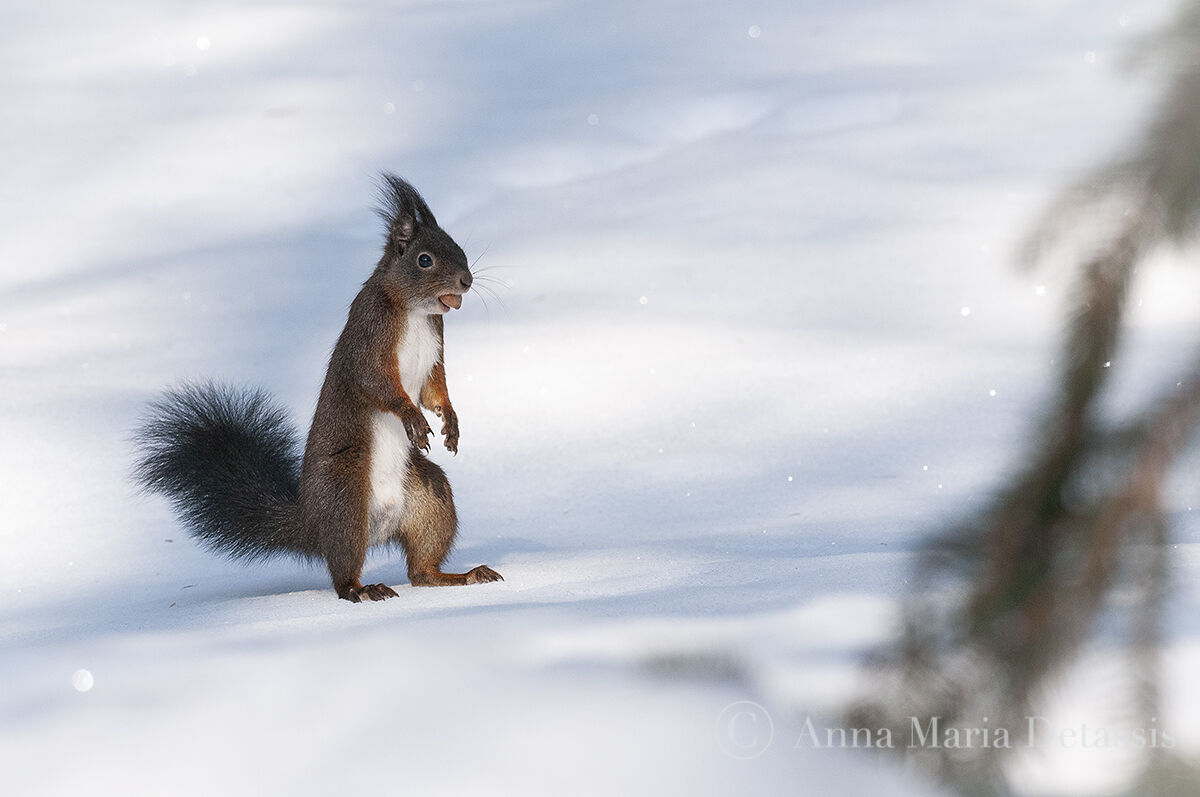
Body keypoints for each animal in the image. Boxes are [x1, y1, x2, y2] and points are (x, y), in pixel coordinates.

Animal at [133, 174, 502, 602]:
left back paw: (464, 576)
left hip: (430, 498)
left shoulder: (434, 352)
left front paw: (451, 423)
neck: (413, 311)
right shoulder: (369, 337)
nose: (467, 281)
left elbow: (433, 392)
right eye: (424, 259)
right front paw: (413, 419)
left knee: (420, 571)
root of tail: (314, 523)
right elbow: (377, 384)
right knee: (343, 574)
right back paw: (363, 589)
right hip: (346, 497)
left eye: (458, 247)